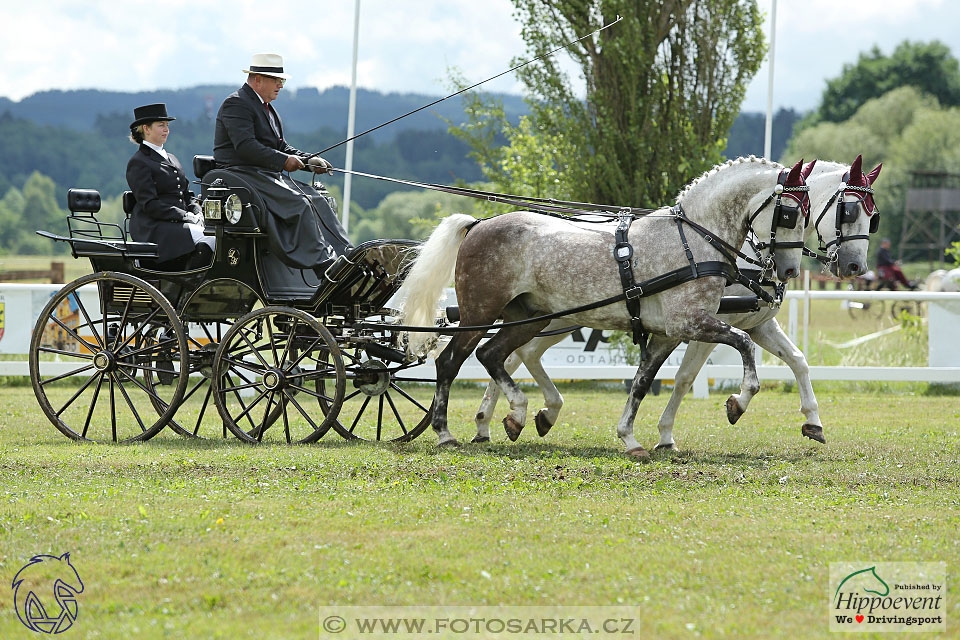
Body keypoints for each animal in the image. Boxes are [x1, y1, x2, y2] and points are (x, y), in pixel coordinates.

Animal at [402, 157, 812, 458]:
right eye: (790, 214)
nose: (789, 270)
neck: (694, 239)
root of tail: (479, 224)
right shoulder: (690, 323)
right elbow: (743, 343)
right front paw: (738, 403)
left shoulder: (667, 333)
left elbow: (642, 382)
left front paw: (630, 439)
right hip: (479, 312)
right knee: (451, 362)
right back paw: (446, 432)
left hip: (527, 317)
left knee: (493, 355)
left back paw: (517, 415)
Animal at [468, 154, 880, 450]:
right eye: (848, 211)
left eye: (872, 218)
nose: (855, 266)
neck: (710, 240)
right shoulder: (700, 325)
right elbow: (685, 378)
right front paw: (676, 430)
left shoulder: (758, 322)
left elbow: (798, 361)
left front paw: (813, 421)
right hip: (558, 318)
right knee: (513, 355)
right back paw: (500, 420)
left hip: (560, 317)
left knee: (519, 354)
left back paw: (516, 418)